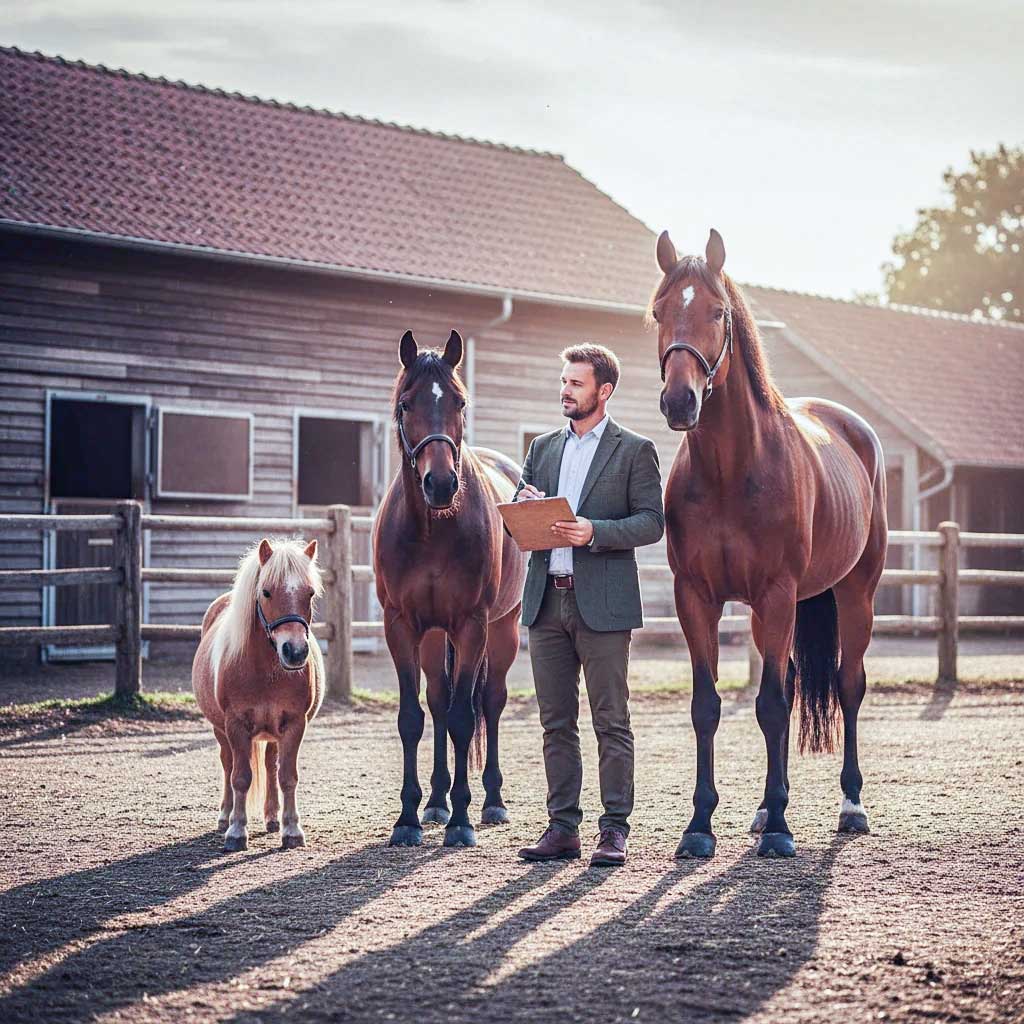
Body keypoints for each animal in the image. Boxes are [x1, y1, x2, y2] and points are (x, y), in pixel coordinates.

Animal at [192, 537, 325, 852]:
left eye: (310, 593)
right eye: (266, 592)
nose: (295, 652)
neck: (265, 670)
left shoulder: (294, 724)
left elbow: (287, 777)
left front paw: (291, 829)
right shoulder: (235, 725)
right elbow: (240, 777)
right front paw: (236, 831)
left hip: (273, 733)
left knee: (270, 765)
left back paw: (272, 817)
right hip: (220, 730)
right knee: (228, 764)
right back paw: (225, 816)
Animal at [373, 329, 526, 849]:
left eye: (460, 402)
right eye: (405, 404)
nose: (440, 483)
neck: (433, 530)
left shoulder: (471, 625)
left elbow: (464, 718)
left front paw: (462, 820)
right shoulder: (401, 626)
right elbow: (413, 718)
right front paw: (407, 819)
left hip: (503, 629)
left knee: (490, 702)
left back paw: (492, 801)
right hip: (434, 636)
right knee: (439, 702)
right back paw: (437, 800)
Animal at [650, 229, 888, 859]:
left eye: (717, 311)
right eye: (659, 311)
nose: (679, 402)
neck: (731, 472)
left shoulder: (777, 594)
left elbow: (773, 705)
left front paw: (781, 828)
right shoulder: (697, 598)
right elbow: (708, 706)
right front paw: (700, 826)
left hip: (855, 594)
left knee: (848, 687)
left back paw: (850, 806)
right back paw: (762, 809)